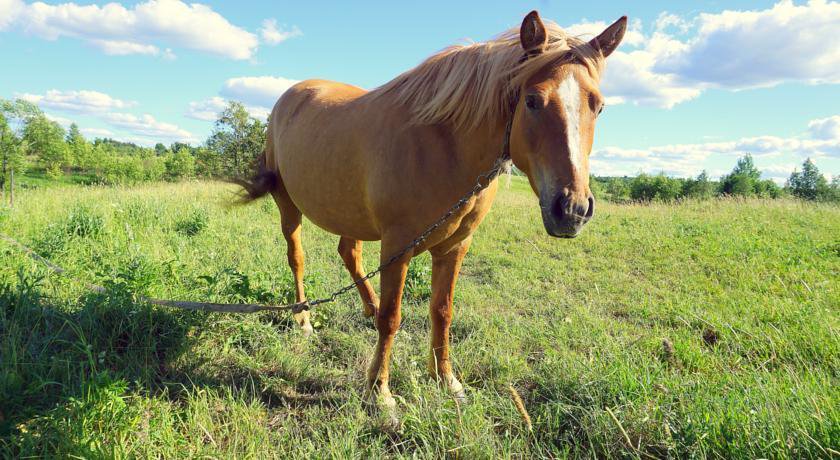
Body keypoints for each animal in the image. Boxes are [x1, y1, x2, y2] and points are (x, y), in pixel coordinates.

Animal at [236, 9, 624, 416]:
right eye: (532, 101)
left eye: (598, 106)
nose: (572, 209)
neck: (443, 144)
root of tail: (290, 95)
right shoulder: (397, 247)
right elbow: (392, 318)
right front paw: (380, 392)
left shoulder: (455, 247)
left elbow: (442, 312)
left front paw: (447, 381)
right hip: (288, 205)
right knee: (297, 257)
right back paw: (304, 319)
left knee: (349, 254)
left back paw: (367, 306)